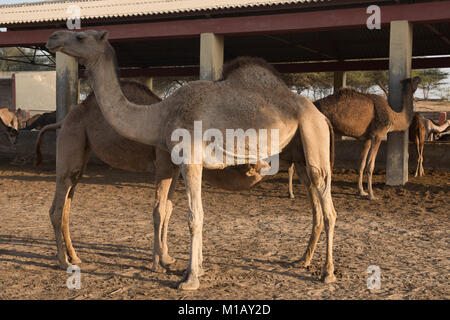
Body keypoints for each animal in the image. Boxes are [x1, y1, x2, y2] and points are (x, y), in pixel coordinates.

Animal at [48, 30, 338, 290]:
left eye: (81, 36)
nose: (53, 38)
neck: (160, 114)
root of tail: (320, 114)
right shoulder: (177, 163)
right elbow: (181, 212)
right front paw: (194, 269)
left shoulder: (190, 160)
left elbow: (193, 216)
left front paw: (189, 279)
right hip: (301, 149)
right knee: (316, 201)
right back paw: (303, 261)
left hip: (313, 134)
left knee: (328, 205)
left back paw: (327, 273)